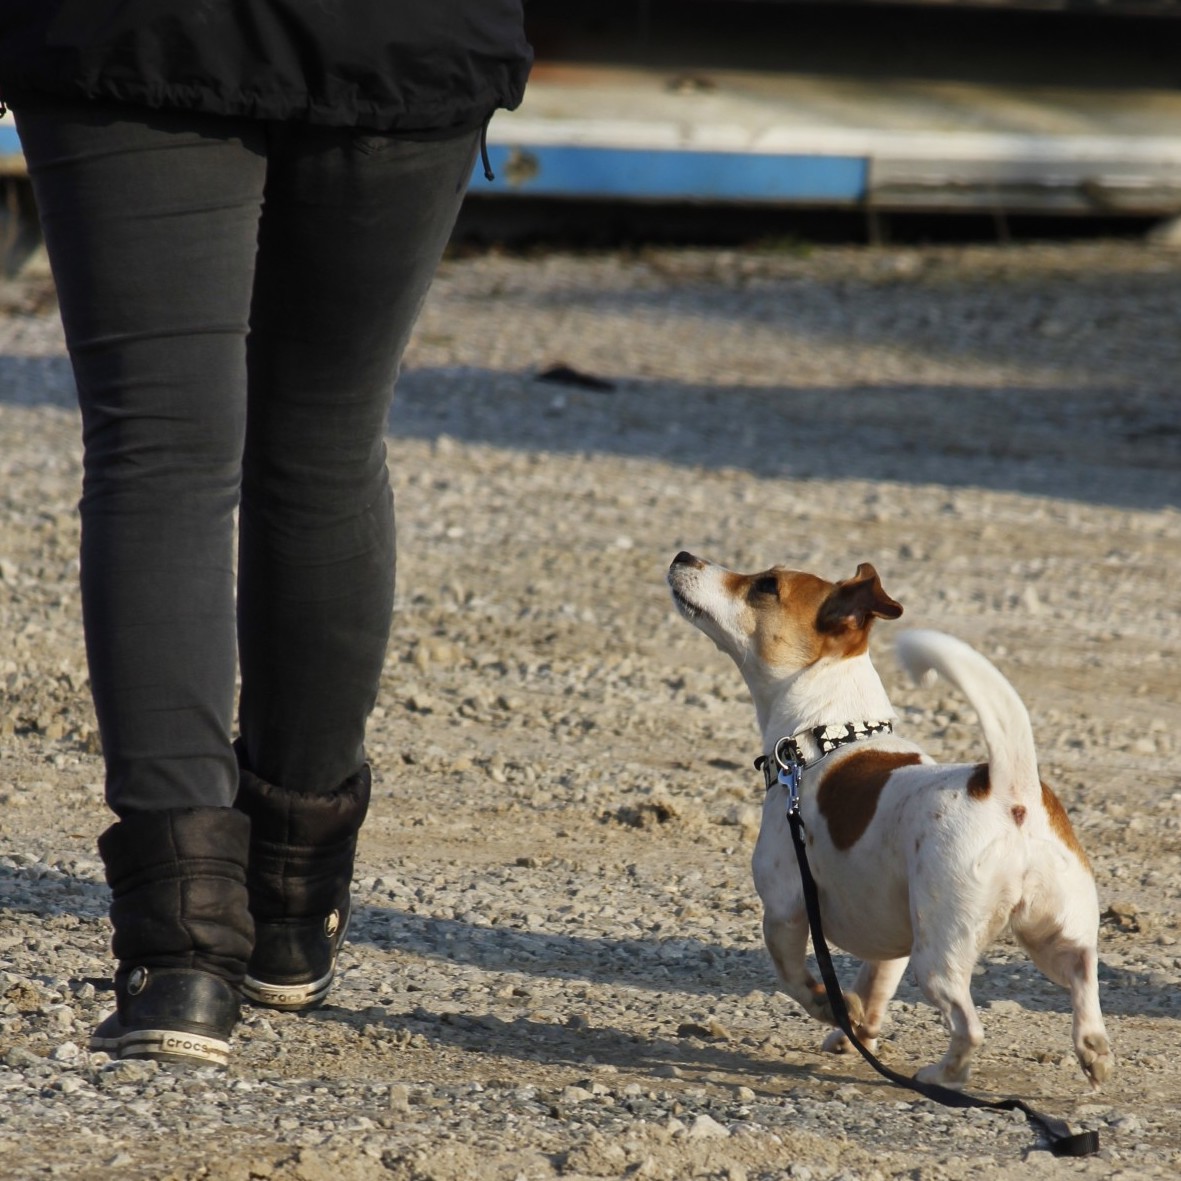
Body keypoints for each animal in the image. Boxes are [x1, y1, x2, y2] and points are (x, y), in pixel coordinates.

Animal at [670, 550, 1110, 1086]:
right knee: (1084, 978)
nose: (684, 555)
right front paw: (852, 1030)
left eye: (767, 586)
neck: (826, 736)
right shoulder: (891, 944)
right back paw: (1094, 1052)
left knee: (969, 1026)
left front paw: (830, 1008)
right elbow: (871, 989)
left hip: (938, 956)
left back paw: (942, 1074)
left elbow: (795, 978)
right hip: (1050, 936)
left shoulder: (784, 913)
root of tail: (1010, 789)